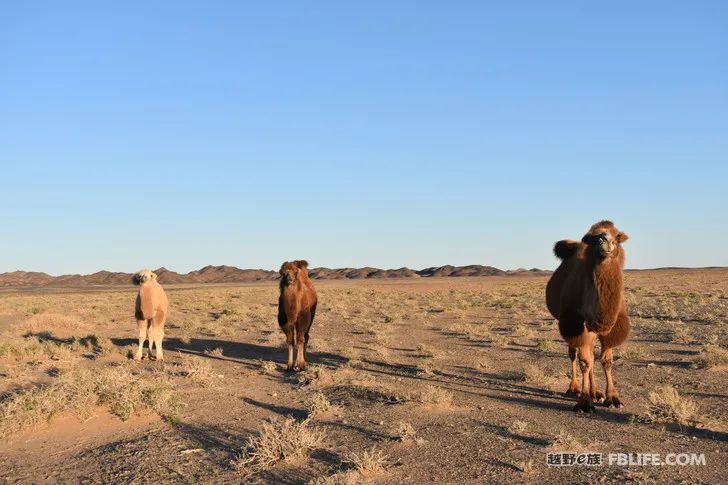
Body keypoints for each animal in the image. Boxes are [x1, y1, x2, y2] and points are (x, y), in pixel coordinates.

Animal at [544, 220, 632, 412]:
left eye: (617, 236)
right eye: (594, 237)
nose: (604, 240)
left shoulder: (612, 326)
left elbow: (606, 361)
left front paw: (612, 398)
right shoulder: (574, 322)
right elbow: (584, 361)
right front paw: (584, 402)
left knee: (590, 354)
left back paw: (595, 392)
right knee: (574, 354)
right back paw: (574, 389)